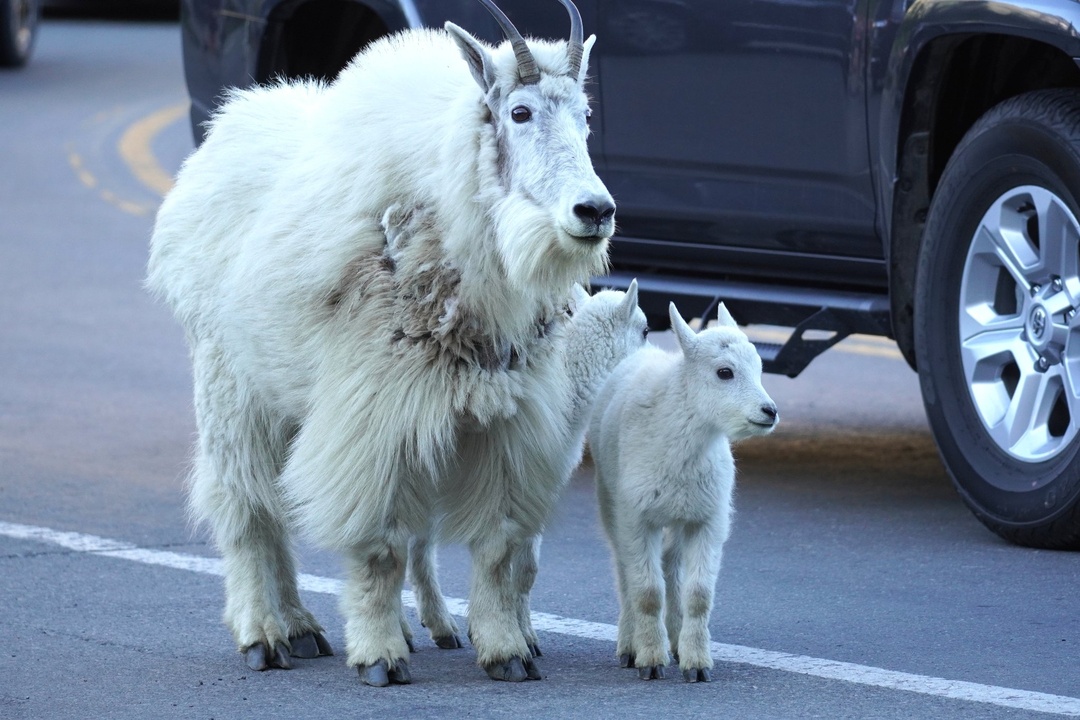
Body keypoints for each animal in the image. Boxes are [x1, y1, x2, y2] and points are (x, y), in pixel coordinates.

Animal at [146, 0, 613, 686]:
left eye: (585, 117)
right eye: (520, 112)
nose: (594, 211)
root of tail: (220, 142)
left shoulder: (511, 422)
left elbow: (500, 543)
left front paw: (506, 652)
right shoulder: (376, 418)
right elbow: (381, 546)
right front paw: (380, 657)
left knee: (275, 504)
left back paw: (303, 629)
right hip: (232, 386)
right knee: (250, 509)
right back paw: (266, 635)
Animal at [590, 303, 778, 682]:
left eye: (760, 367)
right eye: (724, 372)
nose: (770, 411)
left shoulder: (707, 520)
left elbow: (699, 594)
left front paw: (697, 664)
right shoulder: (636, 517)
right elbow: (647, 592)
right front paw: (650, 661)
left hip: (680, 513)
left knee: (671, 567)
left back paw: (675, 641)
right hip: (611, 500)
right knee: (624, 571)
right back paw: (630, 645)